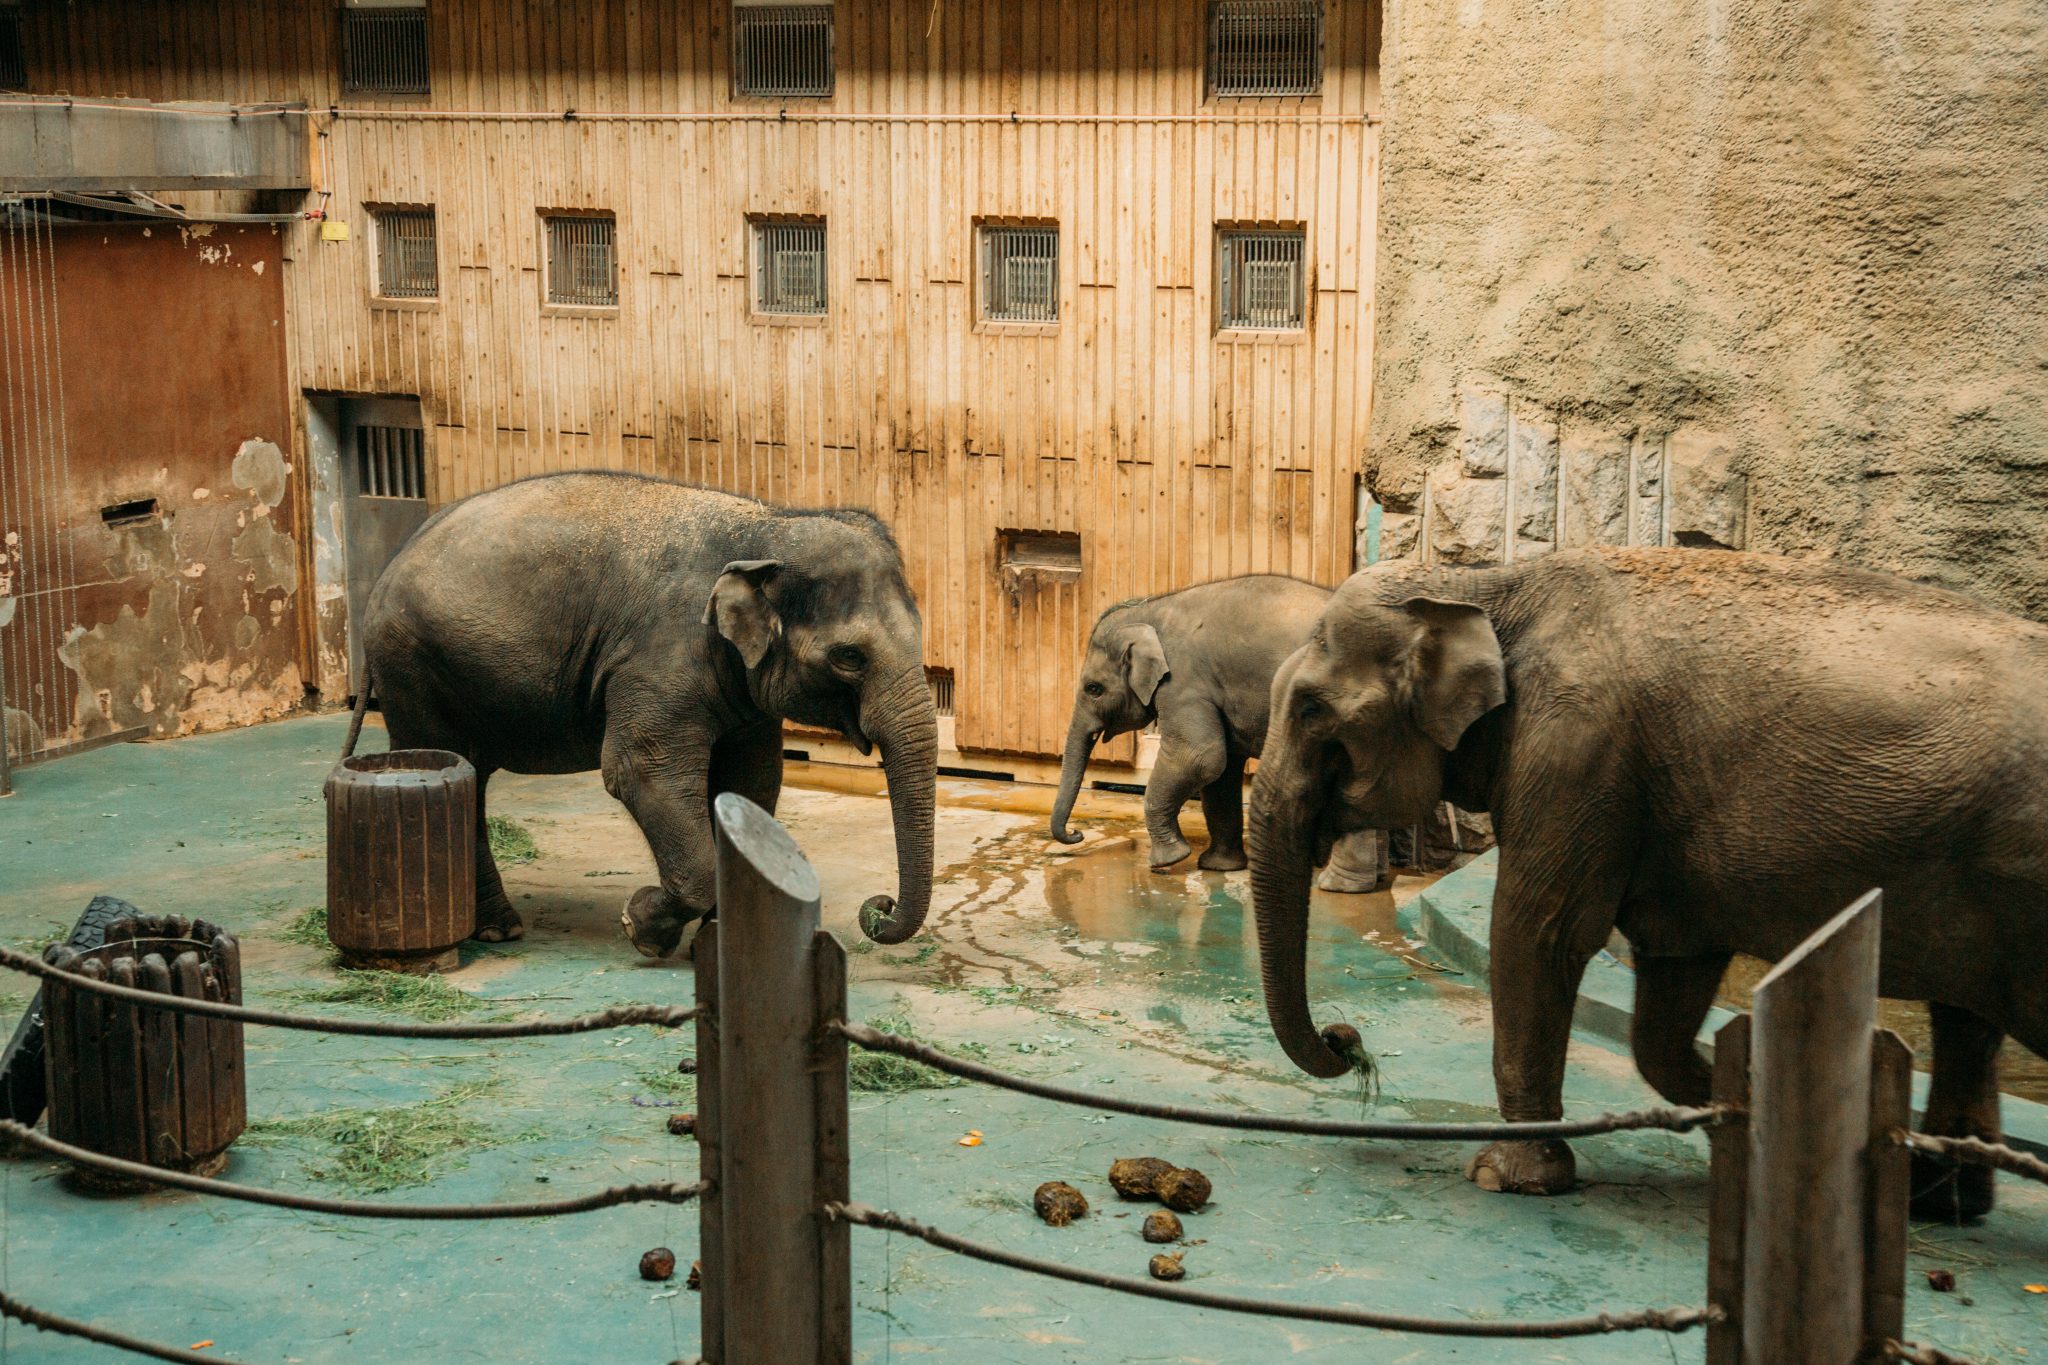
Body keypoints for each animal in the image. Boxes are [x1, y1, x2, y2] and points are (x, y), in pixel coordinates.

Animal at [354, 474, 937, 957]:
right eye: (849, 657)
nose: (878, 906)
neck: (766, 526)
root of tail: (386, 570)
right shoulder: (659, 659)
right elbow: (641, 772)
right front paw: (641, 929)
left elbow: (750, 783)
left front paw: (716, 943)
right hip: (413, 669)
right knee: (453, 768)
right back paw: (499, 931)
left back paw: (499, 927)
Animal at [1056, 573, 1392, 892]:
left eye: (1093, 689)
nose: (1076, 833)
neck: (1149, 608)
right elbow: (1223, 771)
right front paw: (1218, 867)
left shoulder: (1184, 685)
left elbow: (1199, 757)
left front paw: (1168, 862)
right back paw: (1370, 879)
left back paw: (1339, 886)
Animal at [1236, 544, 2048, 1219]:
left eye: (1311, 708)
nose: (1346, 1037)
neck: (1486, 581)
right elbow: (1667, 988)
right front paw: (1751, 1125)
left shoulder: (1580, 750)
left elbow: (1539, 931)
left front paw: (1508, 1178)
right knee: (1964, 1022)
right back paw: (1941, 1203)